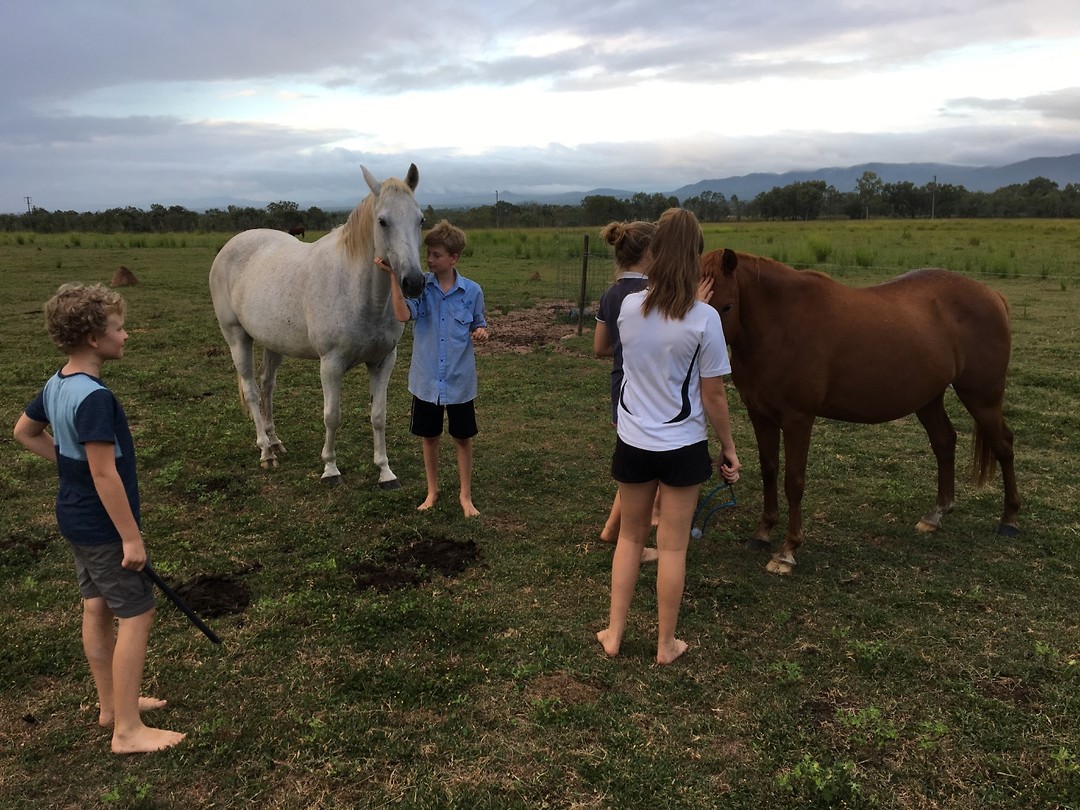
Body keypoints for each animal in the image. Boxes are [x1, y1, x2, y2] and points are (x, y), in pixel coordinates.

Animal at [209, 164, 424, 486]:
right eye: (382, 221)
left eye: (420, 219)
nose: (414, 282)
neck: (358, 292)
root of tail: (230, 246)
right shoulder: (331, 364)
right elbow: (332, 416)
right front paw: (330, 469)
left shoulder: (383, 361)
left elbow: (378, 415)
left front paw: (385, 471)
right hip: (237, 337)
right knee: (251, 390)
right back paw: (266, 451)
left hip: (273, 342)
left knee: (266, 385)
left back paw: (275, 442)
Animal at [701, 248, 1020, 575]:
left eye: (726, 306)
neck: (781, 325)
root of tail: (993, 295)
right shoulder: (760, 415)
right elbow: (769, 471)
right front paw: (763, 532)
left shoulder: (797, 419)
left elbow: (794, 482)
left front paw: (787, 551)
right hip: (929, 400)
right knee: (945, 442)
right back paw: (936, 515)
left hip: (982, 398)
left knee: (1003, 445)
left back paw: (1009, 519)